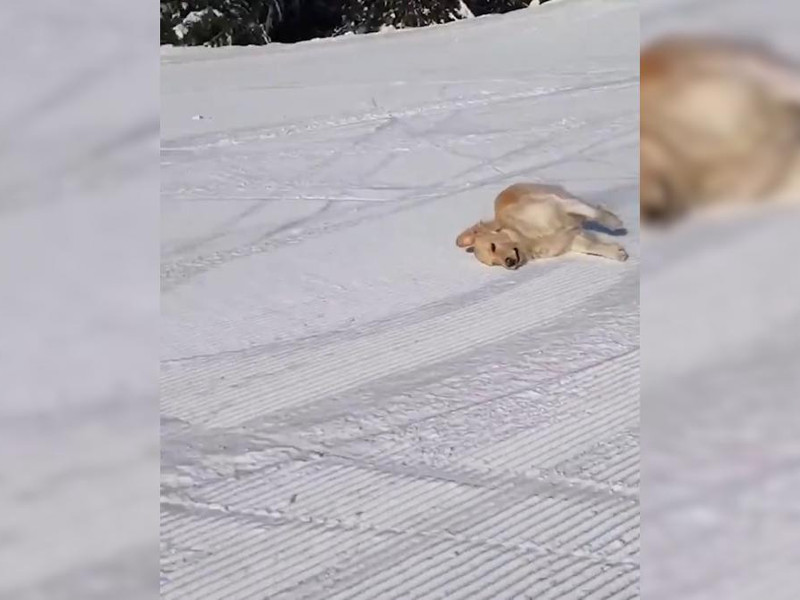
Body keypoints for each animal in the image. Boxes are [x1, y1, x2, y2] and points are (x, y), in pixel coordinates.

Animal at [454, 180, 628, 270]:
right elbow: (592, 247)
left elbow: (594, 213)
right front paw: (615, 252)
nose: (509, 264)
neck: (527, 237)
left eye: (493, 246)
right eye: (494, 263)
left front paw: (613, 222)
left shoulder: (558, 206)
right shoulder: (568, 239)